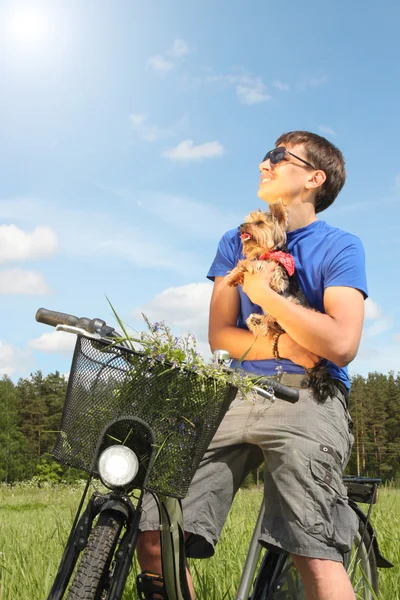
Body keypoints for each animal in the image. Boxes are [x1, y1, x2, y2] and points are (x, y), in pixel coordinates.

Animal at [225, 202, 334, 404]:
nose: (241, 227)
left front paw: (246, 266)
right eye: (247, 221)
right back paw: (257, 321)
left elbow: (254, 263)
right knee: (270, 326)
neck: (269, 250)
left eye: (259, 223)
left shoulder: (277, 274)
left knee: (277, 322)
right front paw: (232, 277)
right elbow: (243, 264)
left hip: (293, 304)